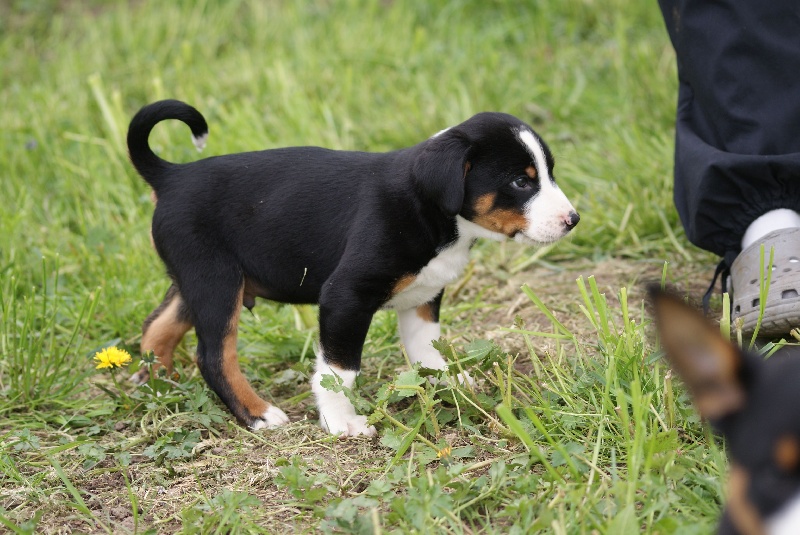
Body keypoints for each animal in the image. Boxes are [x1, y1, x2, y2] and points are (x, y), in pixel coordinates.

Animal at [127, 99, 580, 437]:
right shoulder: (345, 297)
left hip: (196, 281)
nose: (573, 219)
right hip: (216, 282)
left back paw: (157, 389)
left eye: (550, 174)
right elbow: (339, 372)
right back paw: (258, 414)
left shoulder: (424, 297)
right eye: (521, 182)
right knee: (213, 356)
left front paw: (448, 384)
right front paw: (341, 422)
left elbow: (427, 351)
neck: (430, 211)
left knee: (157, 329)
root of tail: (172, 175)